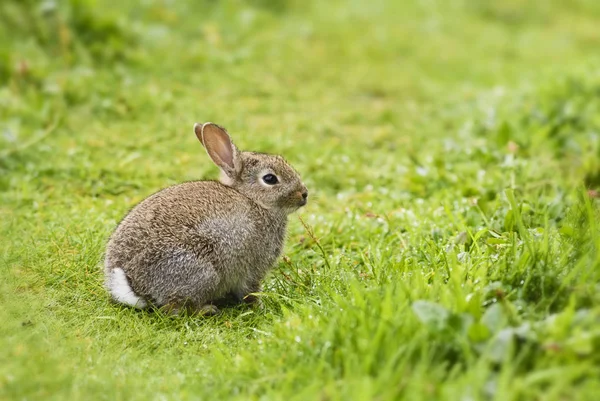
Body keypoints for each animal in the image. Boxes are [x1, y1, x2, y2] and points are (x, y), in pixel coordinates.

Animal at [103, 120, 308, 314]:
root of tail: (131, 284)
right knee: (173, 308)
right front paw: (259, 306)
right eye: (270, 179)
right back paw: (206, 310)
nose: (304, 194)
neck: (254, 201)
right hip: (203, 271)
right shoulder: (252, 269)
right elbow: (250, 291)